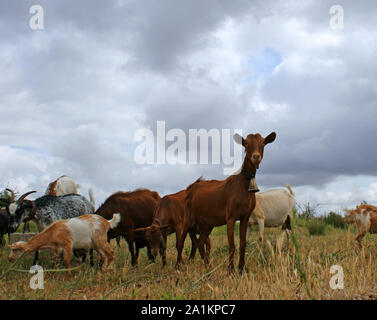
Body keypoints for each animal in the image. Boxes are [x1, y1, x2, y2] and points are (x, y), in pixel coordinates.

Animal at [176, 131, 276, 272]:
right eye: (246, 144)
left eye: (263, 143)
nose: (256, 157)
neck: (243, 185)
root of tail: (191, 187)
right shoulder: (231, 216)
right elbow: (232, 245)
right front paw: (231, 270)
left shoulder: (245, 216)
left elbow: (243, 244)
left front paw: (242, 268)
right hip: (188, 217)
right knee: (181, 242)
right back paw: (178, 267)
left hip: (207, 223)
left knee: (200, 242)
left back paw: (208, 267)